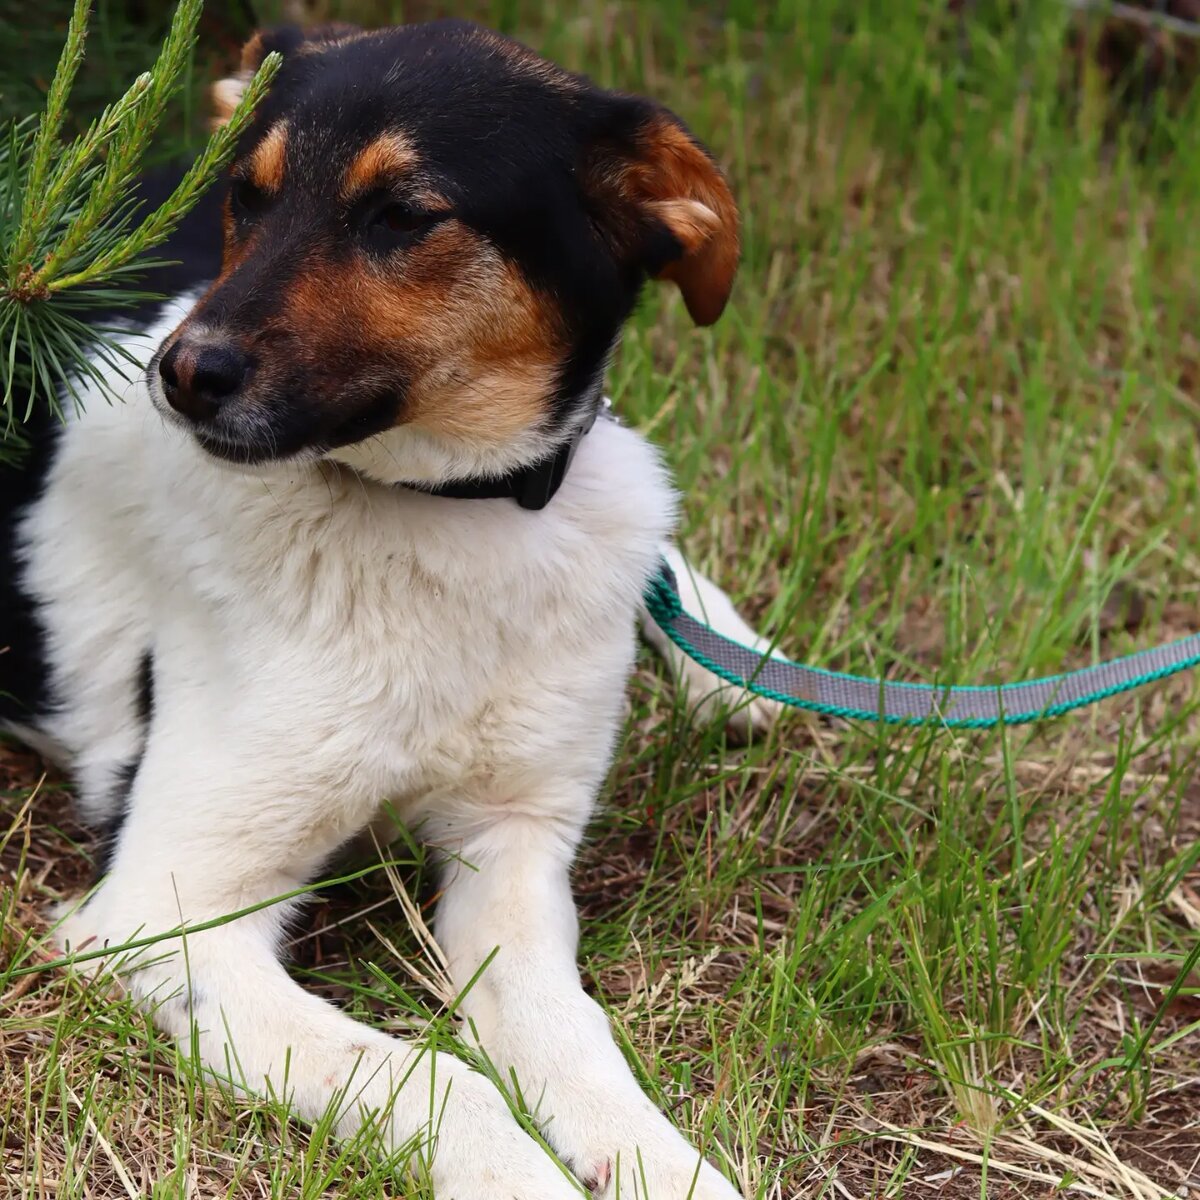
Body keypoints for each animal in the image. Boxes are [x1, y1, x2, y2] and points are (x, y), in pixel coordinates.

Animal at [0, 21, 782, 1200]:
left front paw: (663, 1163)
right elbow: (438, 1079)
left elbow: (576, 1039)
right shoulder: (161, 916)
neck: (448, 518)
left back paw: (727, 658)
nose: (180, 376)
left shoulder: (512, 845)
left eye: (405, 215)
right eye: (249, 197)